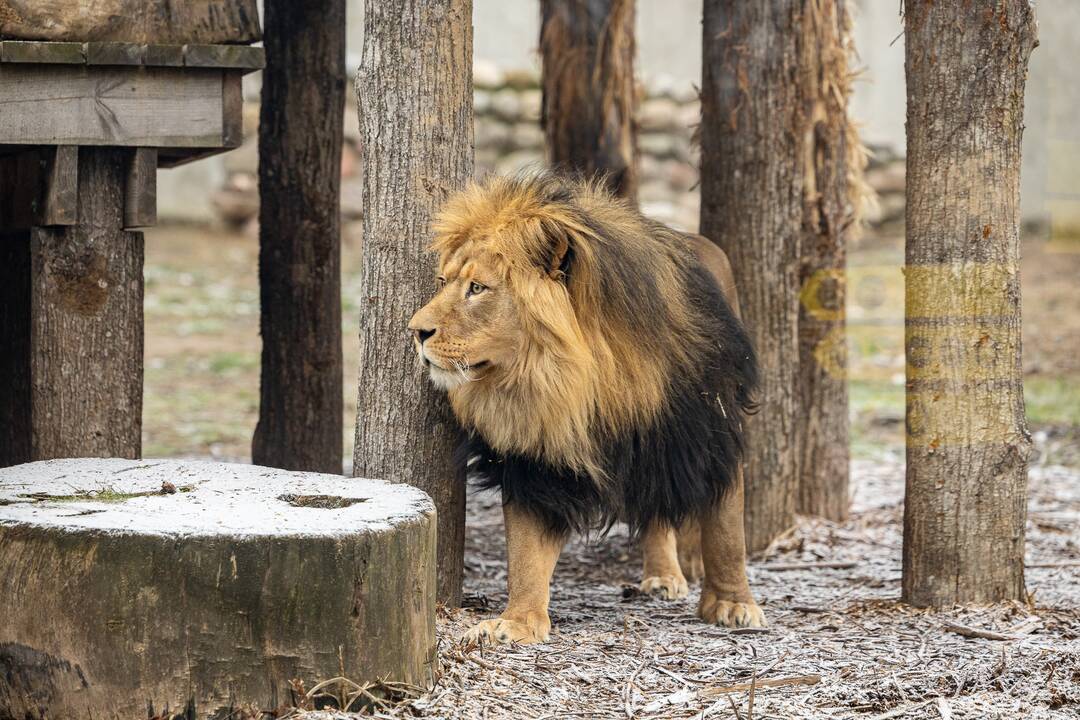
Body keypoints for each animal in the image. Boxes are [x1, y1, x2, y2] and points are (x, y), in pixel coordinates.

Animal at [406, 171, 768, 643]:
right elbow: (525, 551)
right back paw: (662, 574)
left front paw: (733, 604)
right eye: (441, 281)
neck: (583, 383)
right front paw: (517, 621)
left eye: (477, 288)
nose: (415, 331)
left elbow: (726, 532)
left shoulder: (711, 432)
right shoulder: (538, 462)